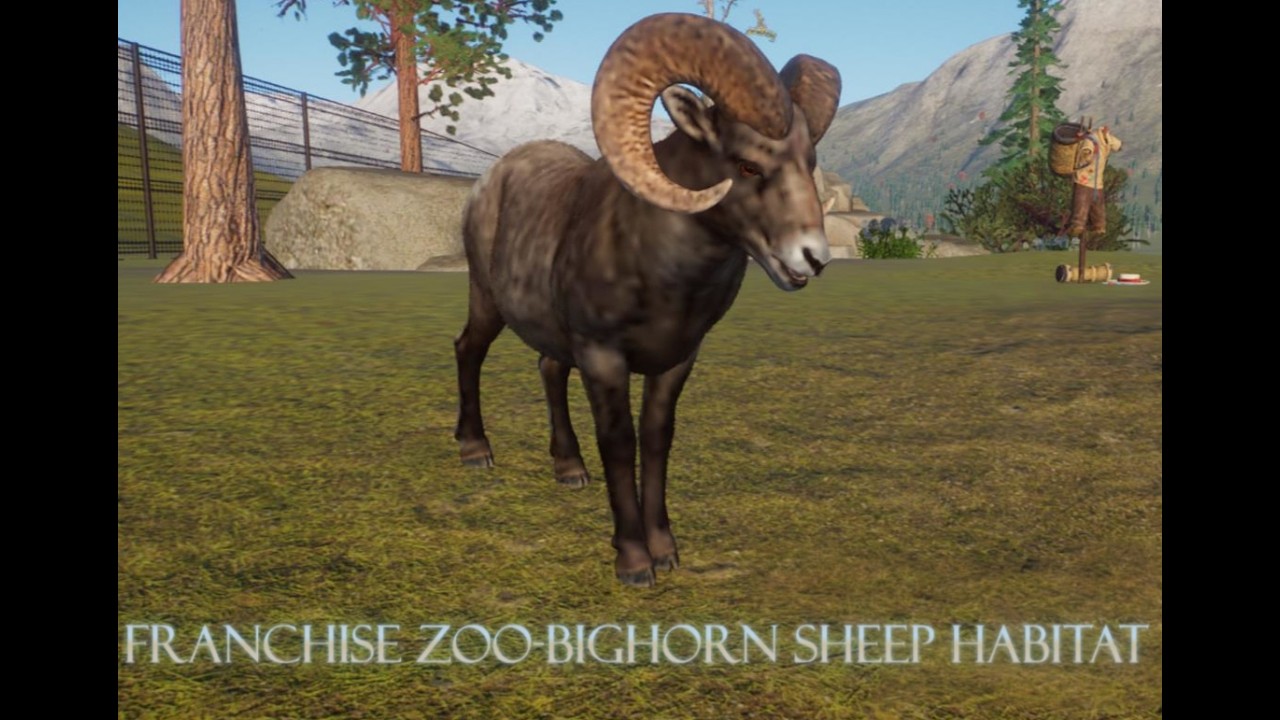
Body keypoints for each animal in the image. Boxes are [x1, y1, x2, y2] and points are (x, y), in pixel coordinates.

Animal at [453, 13, 842, 587]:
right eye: (747, 166)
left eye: (808, 161)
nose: (812, 258)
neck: (661, 272)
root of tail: (490, 181)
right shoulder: (603, 358)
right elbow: (618, 443)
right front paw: (635, 562)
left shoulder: (678, 359)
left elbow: (657, 440)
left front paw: (666, 550)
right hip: (487, 301)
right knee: (469, 350)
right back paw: (476, 451)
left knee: (548, 368)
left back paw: (569, 470)